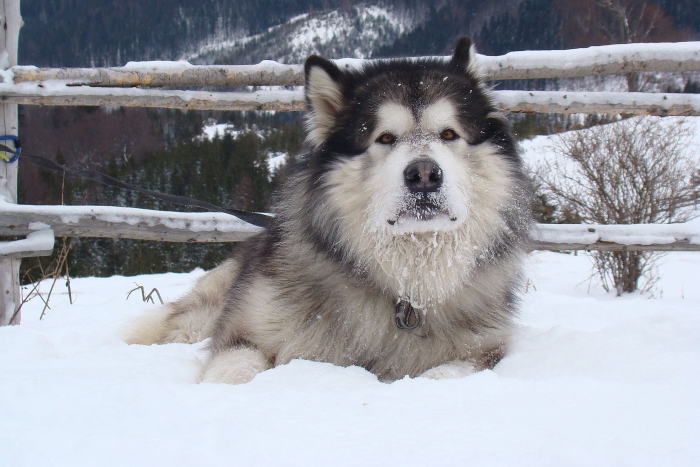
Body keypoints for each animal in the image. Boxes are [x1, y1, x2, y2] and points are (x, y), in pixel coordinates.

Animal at [124, 37, 532, 384]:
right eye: (385, 138)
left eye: (449, 134)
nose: (424, 175)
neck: (404, 290)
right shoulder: (246, 330)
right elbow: (235, 368)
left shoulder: (482, 350)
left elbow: (444, 375)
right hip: (205, 311)